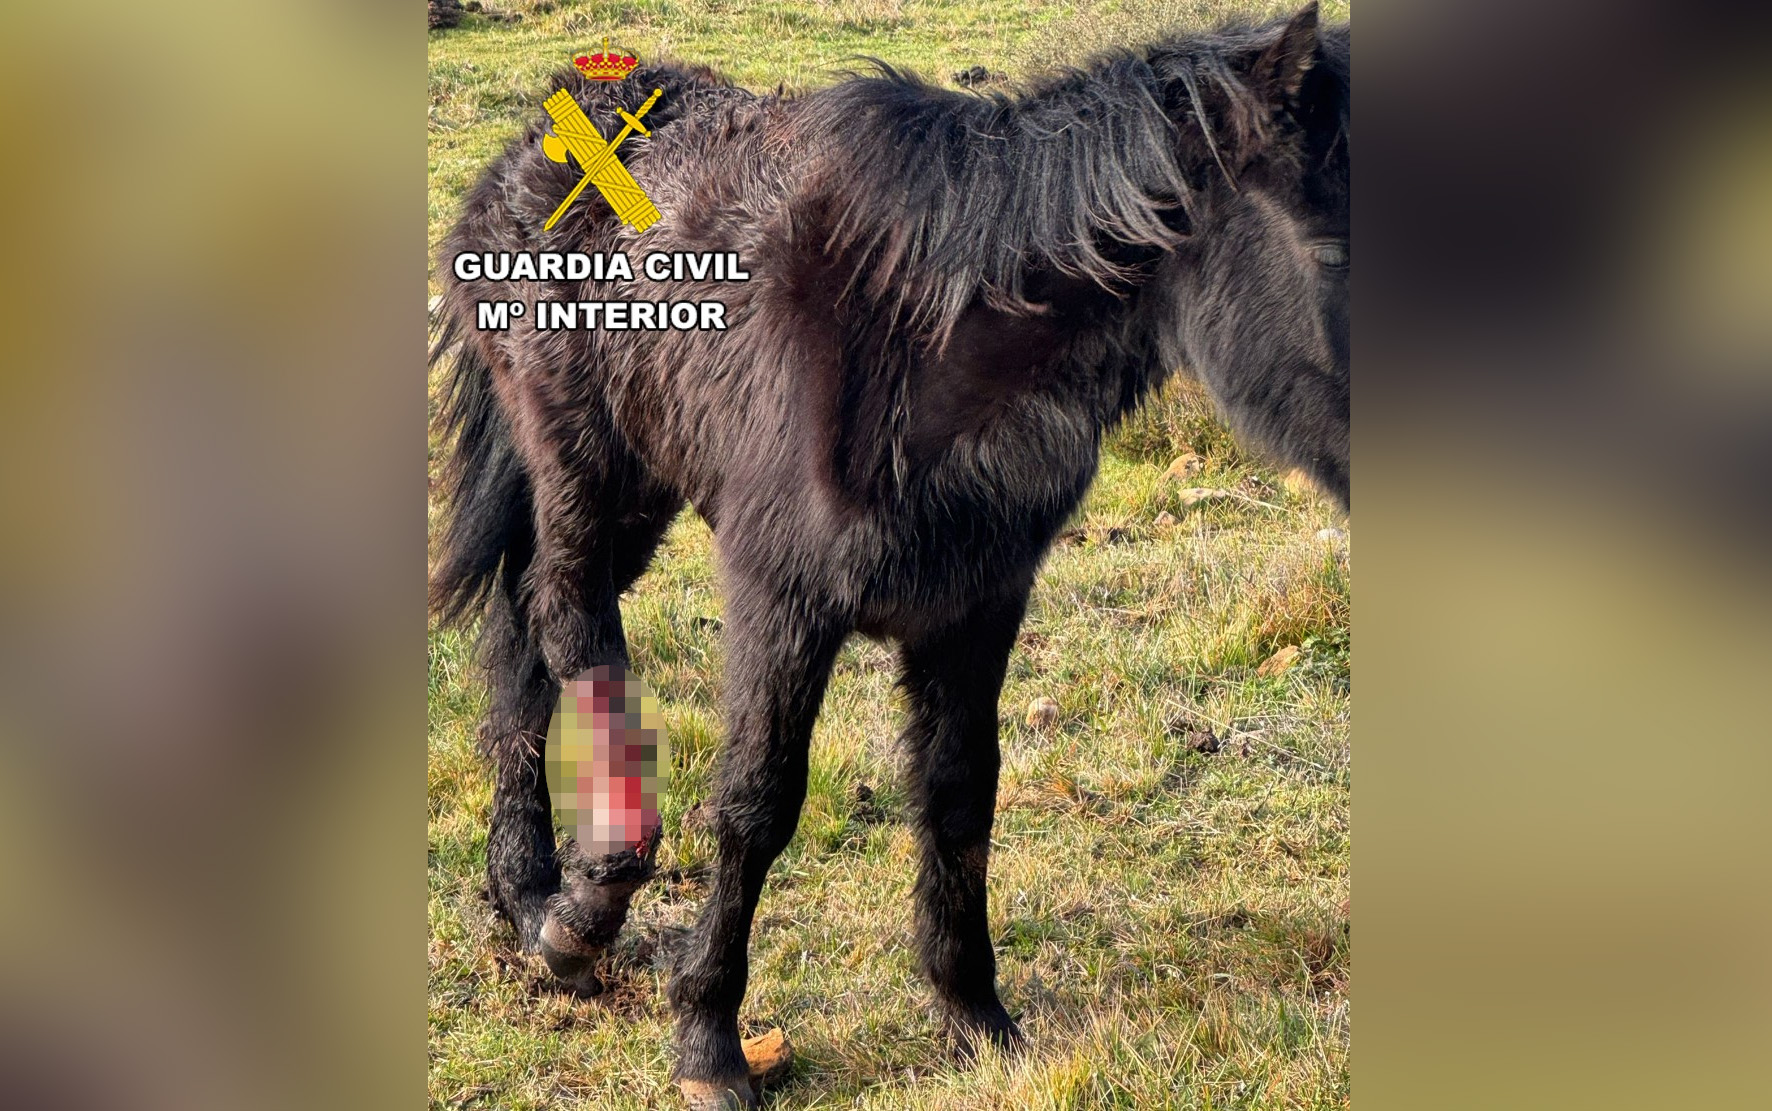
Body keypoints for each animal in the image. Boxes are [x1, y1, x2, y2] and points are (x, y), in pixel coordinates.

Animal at [429, 5, 1347, 1105]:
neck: (924, 351)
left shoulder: (979, 603)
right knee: (563, 623)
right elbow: (756, 804)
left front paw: (976, 1014)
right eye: (1330, 248)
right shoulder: (780, 595)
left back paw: (527, 894)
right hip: (579, 463)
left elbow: (959, 791)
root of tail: (541, 136)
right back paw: (577, 911)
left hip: (639, 491)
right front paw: (708, 1041)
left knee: (524, 641)